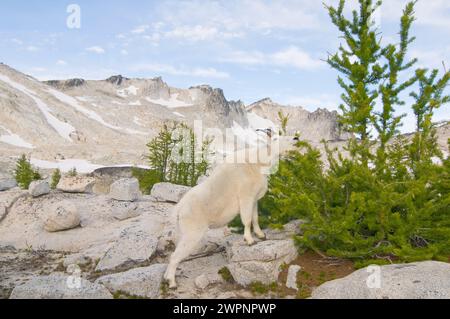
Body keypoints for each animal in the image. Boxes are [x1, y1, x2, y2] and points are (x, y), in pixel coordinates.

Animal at [163, 130, 298, 290]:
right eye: (276, 138)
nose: (296, 138)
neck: (257, 163)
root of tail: (179, 209)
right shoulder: (246, 196)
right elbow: (247, 220)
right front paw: (249, 240)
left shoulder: (254, 200)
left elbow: (255, 218)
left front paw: (261, 235)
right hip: (192, 233)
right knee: (175, 256)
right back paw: (172, 283)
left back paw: (166, 278)